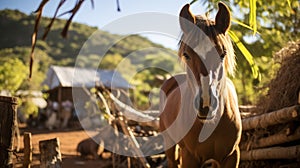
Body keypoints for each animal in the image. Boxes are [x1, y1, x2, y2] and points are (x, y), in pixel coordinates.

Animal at [159, 1, 241, 167]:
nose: (206, 104)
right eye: (186, 55)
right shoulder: (191, 157)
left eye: (222, 54)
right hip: (169, 143)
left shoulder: (232, 156)